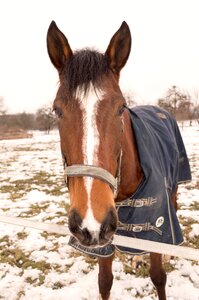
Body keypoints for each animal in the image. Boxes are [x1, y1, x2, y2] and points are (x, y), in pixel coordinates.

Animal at [46, 21, 191, 300]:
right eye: (57, 110)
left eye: (121, 107)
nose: (90, 222)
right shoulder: (103, 239)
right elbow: (104, 281)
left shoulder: (153, 228)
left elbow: (158, 276)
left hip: (175, 191)